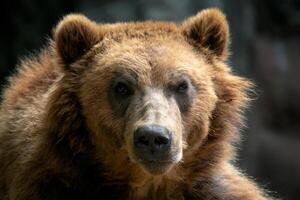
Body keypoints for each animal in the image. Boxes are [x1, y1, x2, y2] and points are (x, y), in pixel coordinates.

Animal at [0, 8, 272, 200]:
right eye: (122, 87)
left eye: (181, 85)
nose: (154, 137)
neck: (146, 183)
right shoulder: (49, 183)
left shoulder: (215, 191)